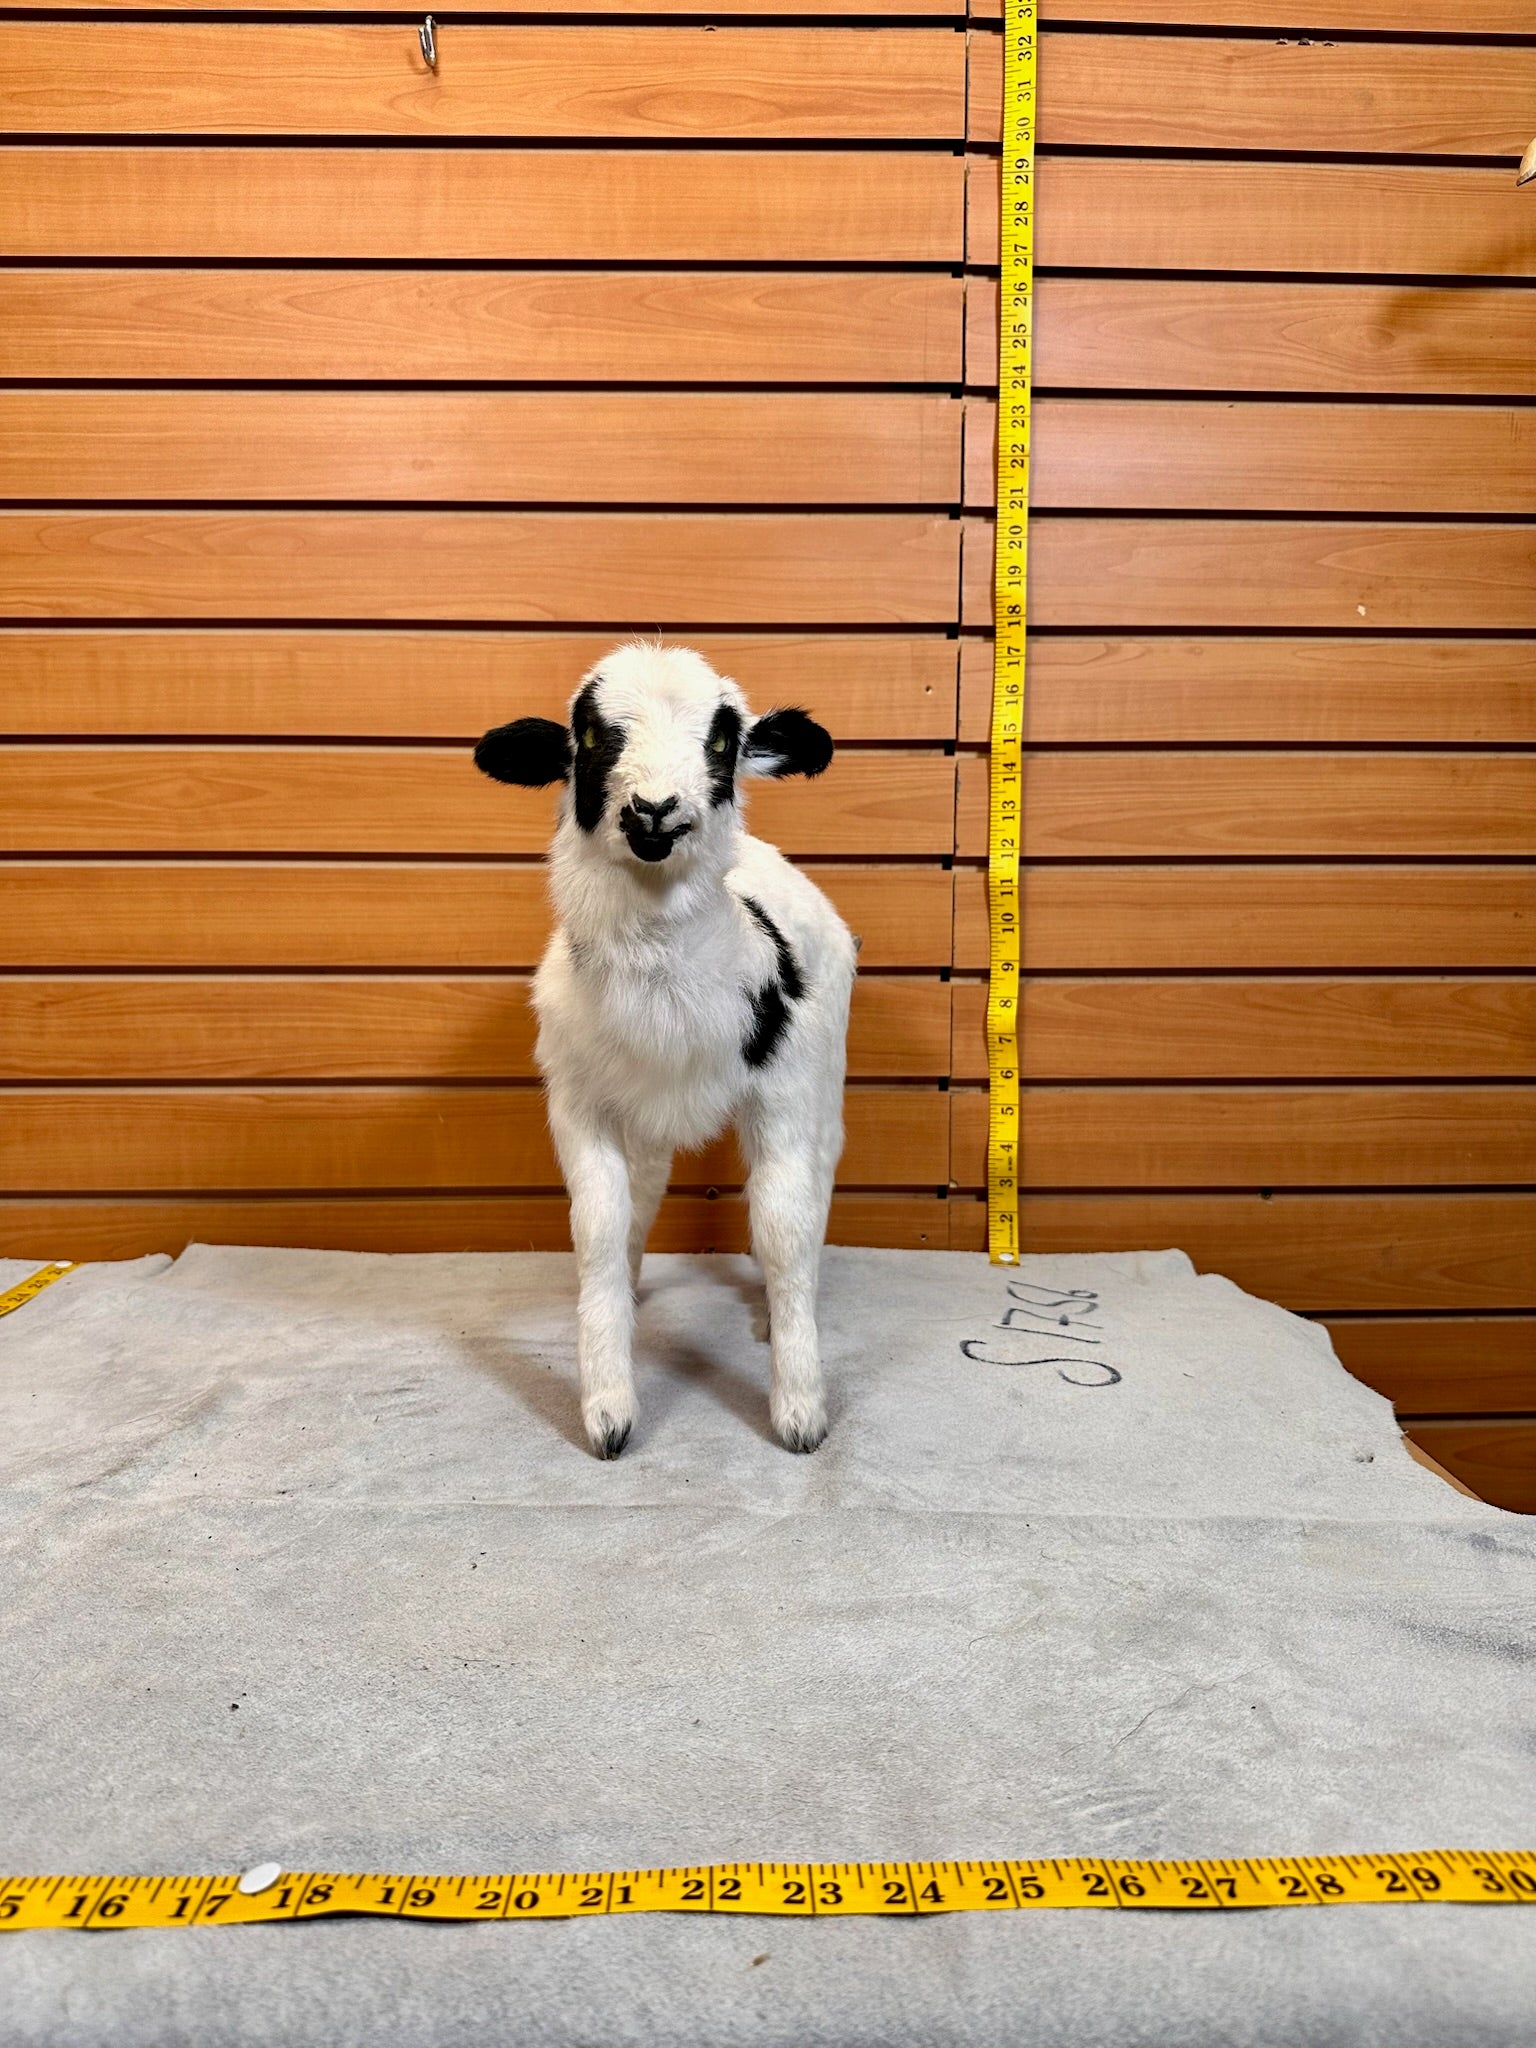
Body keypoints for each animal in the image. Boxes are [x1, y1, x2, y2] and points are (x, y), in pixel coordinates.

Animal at [474, 643, 857, 1460]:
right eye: (590, 735)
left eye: (722, 741)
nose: (653, 810)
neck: (666, 995)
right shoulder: (580, 1104)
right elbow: (600, 1224)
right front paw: (608, 1408)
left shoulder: (783, 1099)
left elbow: (783, 1227)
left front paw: (800, 1410)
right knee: (644, 1193)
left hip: (827, 1078)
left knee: (818, 1182)